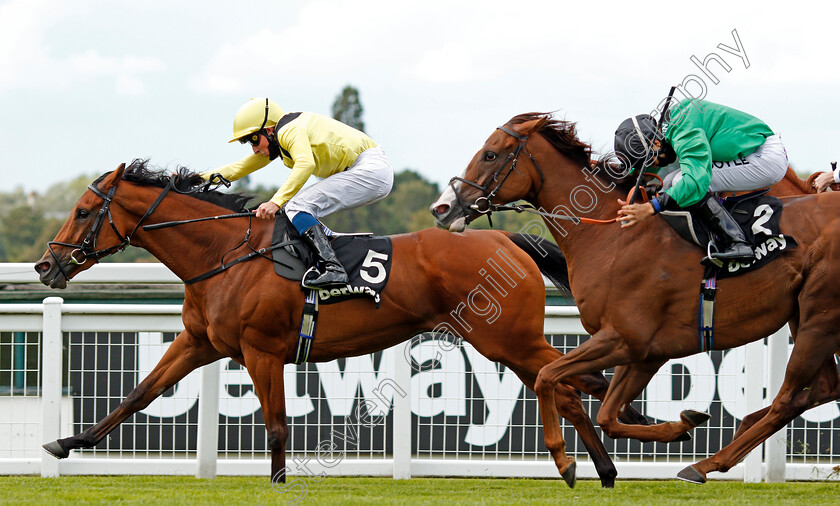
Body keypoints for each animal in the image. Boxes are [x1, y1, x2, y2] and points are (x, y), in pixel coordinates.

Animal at [32, 160, 652, 488]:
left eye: (83, 211)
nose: (45, 265)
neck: (225, 253)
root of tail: (505, 240)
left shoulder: (261, 350)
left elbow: (276, 425)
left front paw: (279, 482)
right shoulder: (200, 342)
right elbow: (137, 395)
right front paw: (65, 443)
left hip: (508, 338)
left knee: (562, 380)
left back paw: (589, 463)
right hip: (507, 341)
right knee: (564, 384)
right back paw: (600, 468)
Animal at [430, 112, 840, 484]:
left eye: (490, 154)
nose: (442, 208)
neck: (612, 236)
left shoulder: (626, 338)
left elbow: (548, 377)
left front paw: (564, 460)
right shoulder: (644, 351)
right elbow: (608, 415)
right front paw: (682, 424)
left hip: (819, 319)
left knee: (788, 398)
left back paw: (707, 464)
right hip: (806, 318)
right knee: (821, 389)